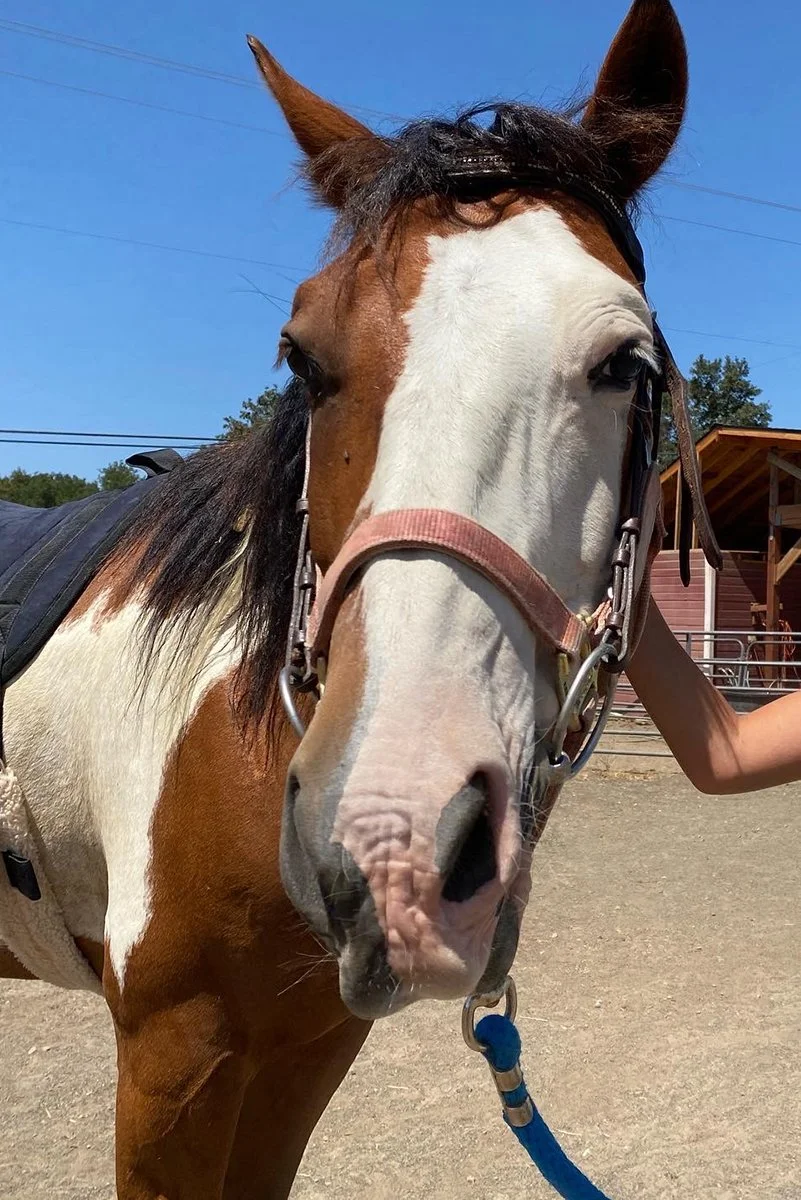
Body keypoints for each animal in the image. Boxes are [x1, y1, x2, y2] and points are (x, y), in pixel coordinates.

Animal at [0, 1, 720, 1195]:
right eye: (301, 356)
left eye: (627, 361)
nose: (394, 831)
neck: (234, 737)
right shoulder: (169, 1061)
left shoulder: (302, 1051)